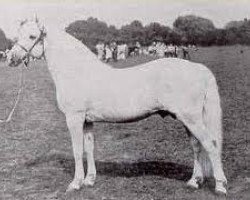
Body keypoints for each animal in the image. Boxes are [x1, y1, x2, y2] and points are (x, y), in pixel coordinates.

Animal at [6, 18, 228, 194]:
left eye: (32, 36)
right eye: (18, 35)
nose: (11, 58)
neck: (76, 71)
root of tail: (199, 69)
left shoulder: (74, 118)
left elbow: (77, 150)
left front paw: (75, 183)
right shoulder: (87, 121)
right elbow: (89, 149)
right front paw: (90, 180)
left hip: (192, 119)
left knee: (211, 145)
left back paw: (220, 186)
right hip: (188, 119)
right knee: (197, 147)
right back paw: (194, 181)